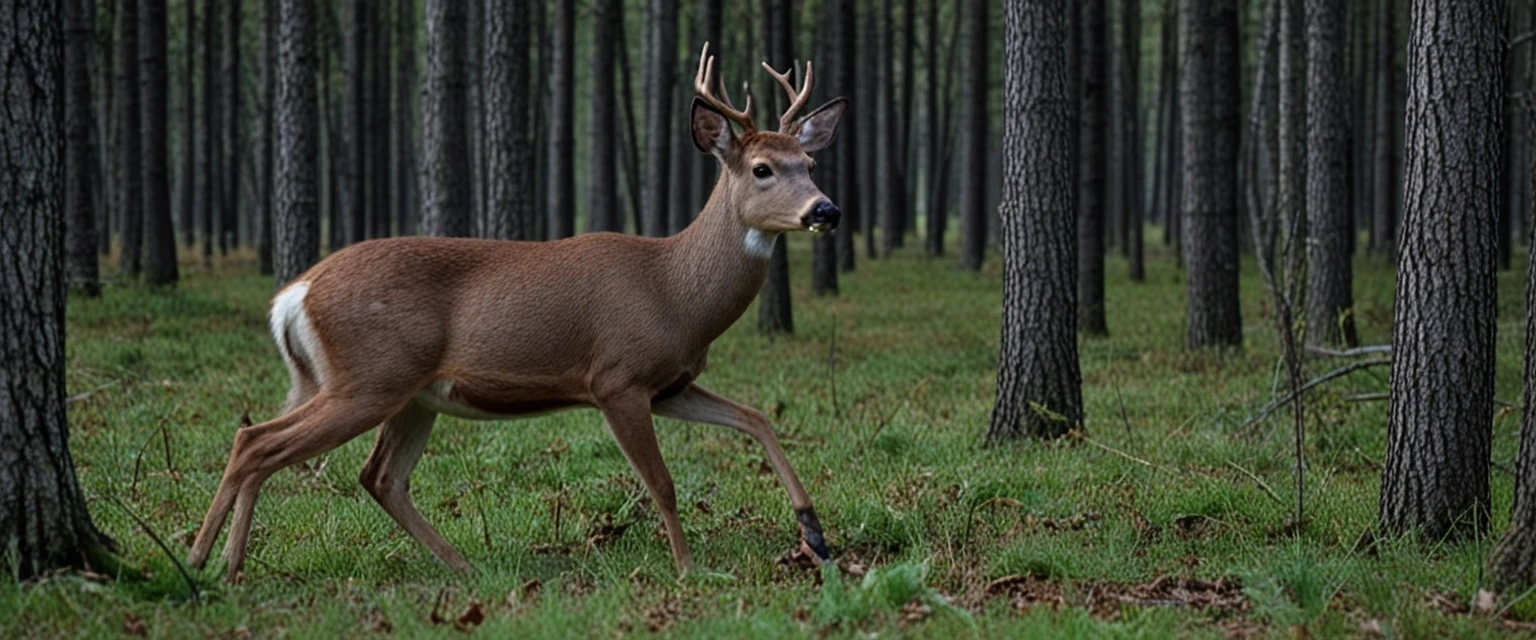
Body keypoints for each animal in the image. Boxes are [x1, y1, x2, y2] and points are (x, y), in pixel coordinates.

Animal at [185, 43, 847, 580]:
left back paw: (456, 566)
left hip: (405, 393)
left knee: (375, 476)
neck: (675, 294)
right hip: (369, 377)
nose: (826, 209)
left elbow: (756, 418)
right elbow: (662, 482)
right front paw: (689, 570)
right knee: (257, 442)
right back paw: (207, 563)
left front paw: (814, 534)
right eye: (762, 169)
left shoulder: (669, 383)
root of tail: (294, 294)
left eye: (811, 165)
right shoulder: (617, 377)